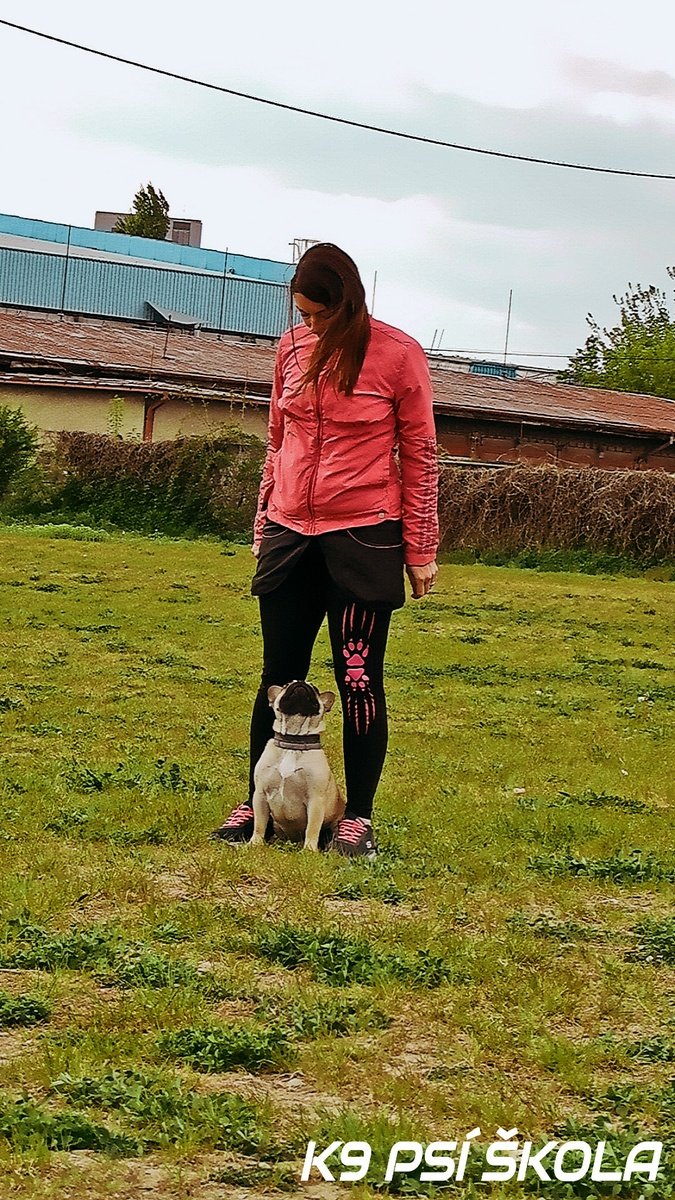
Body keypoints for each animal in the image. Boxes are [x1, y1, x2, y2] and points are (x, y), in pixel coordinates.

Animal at [250, 680, 345, 851]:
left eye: (315, 689)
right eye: (286, 684)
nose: (301, 683)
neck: (293, 740)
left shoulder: (315, 800)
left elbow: (312, 828)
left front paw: (309, 850)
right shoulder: (260, 795)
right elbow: (259, 823)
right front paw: (255, 843)